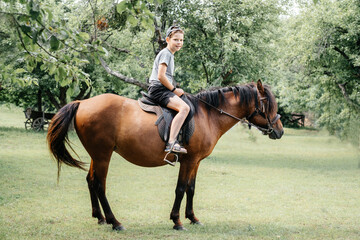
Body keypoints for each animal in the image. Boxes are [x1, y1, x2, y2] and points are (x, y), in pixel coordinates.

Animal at [46, 80, 282, 231]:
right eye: (268, 104)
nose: (279, 131)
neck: (208, 115)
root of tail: (83, 103)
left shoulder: (195, 161)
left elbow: (191, 188)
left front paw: (193, 218)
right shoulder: (188, 160)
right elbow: (180, 189)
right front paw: (177, 221)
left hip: (97, 155)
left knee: (90, 181)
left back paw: (100, 218)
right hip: (103, 155)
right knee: (99, 185)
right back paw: (115, 222)